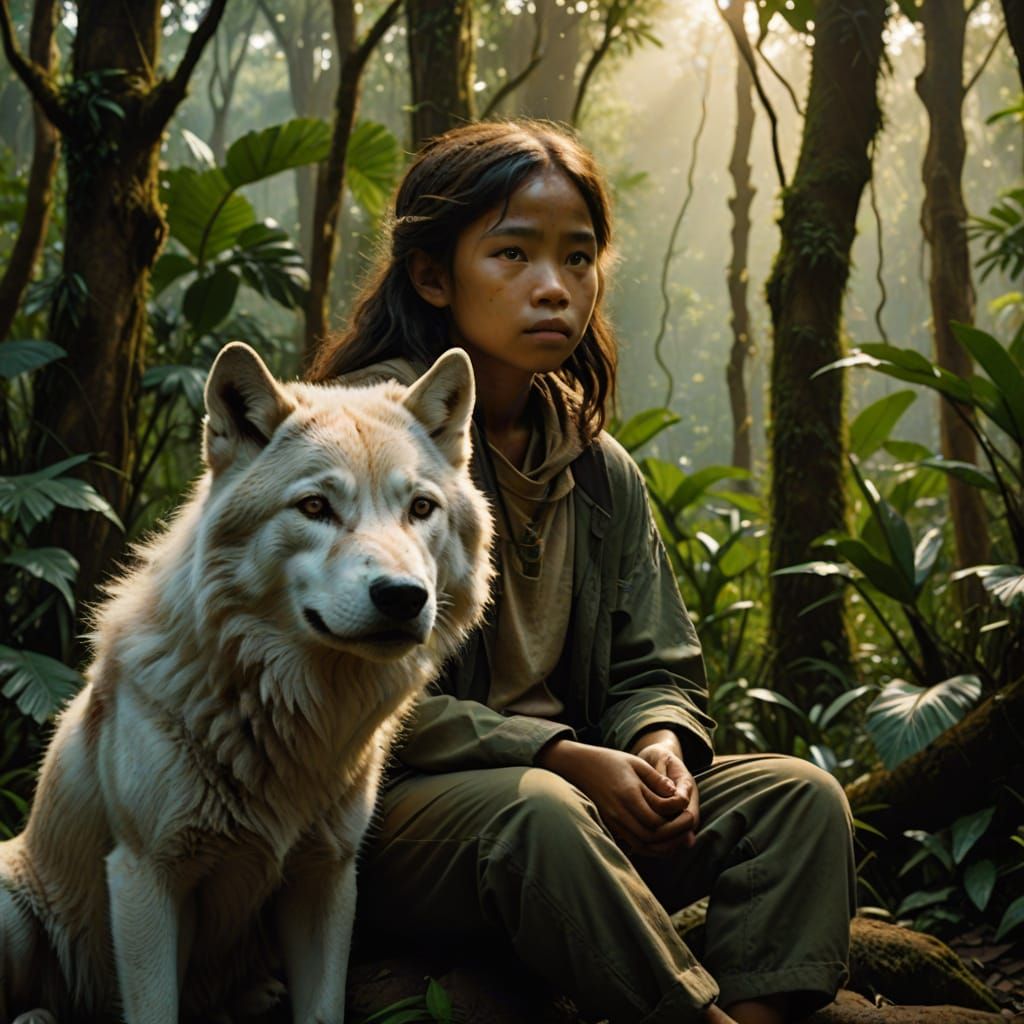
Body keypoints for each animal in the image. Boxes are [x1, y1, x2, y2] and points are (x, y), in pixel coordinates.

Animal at [0, 343, 493, 1024]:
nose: (402, 597)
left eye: (420, 508)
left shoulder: (327, 876)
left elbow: (323, 1009)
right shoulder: (145, 877)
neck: (279, 709)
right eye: (314, 507)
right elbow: (155, 1010)